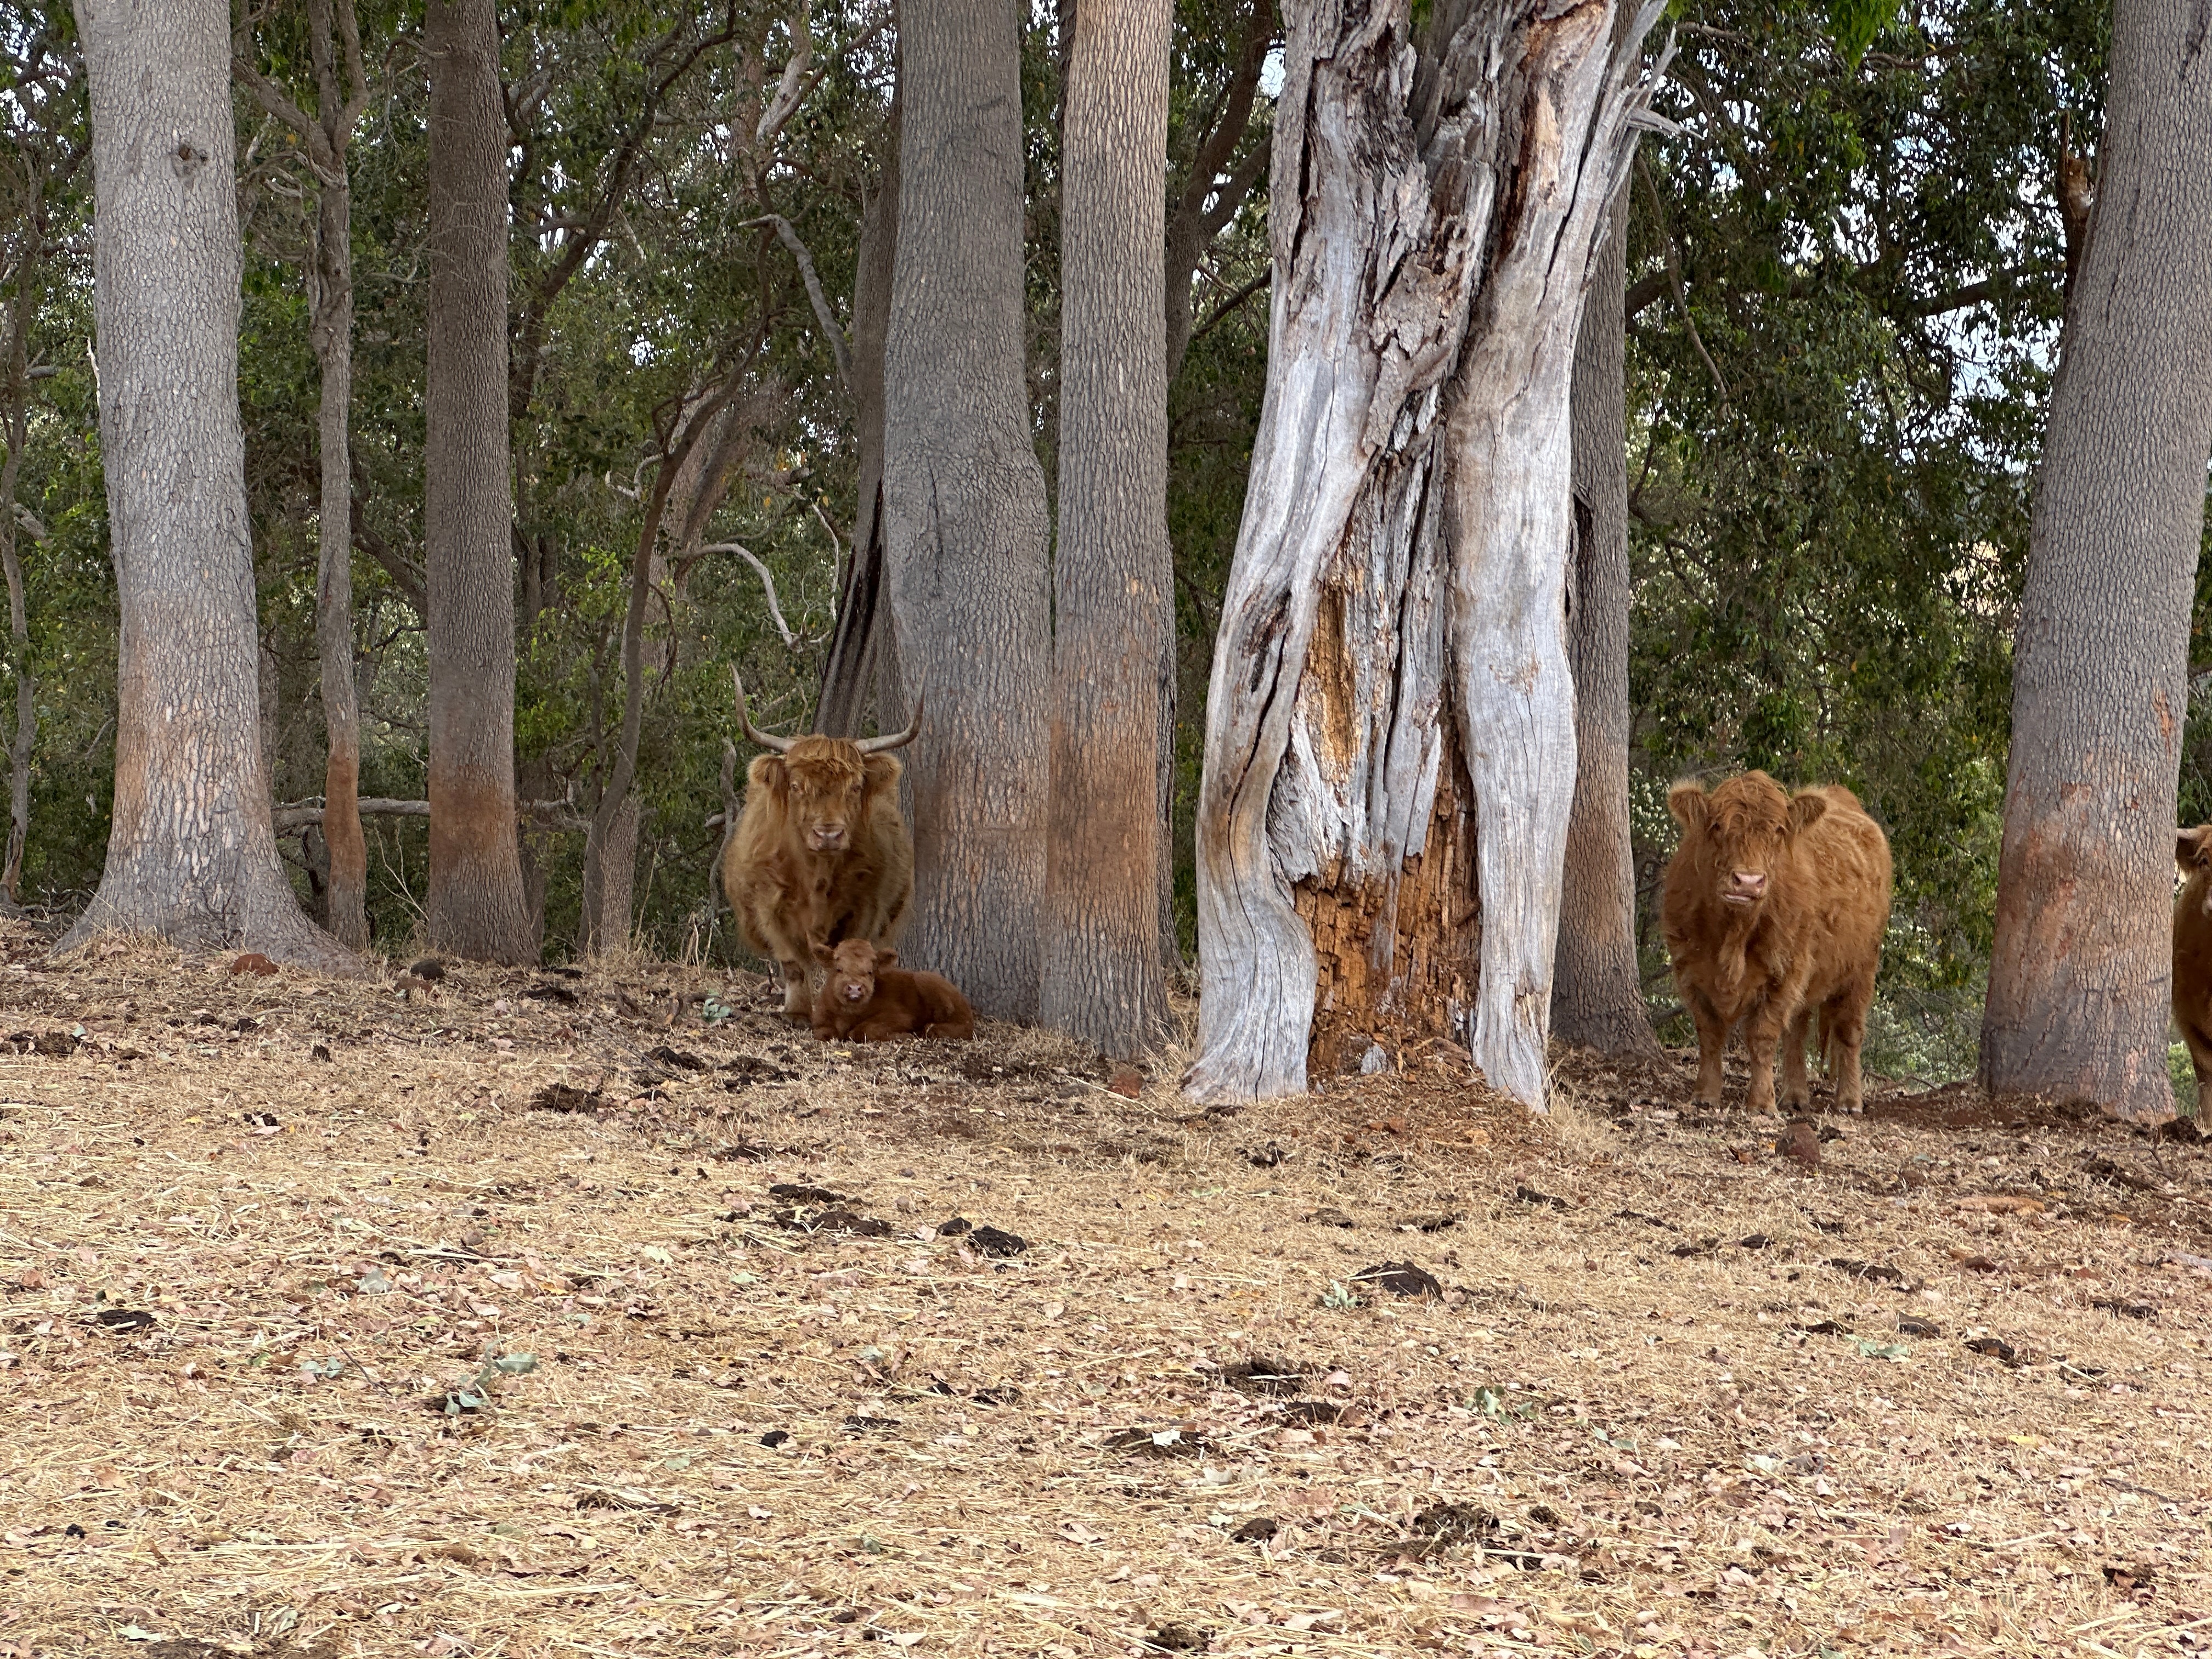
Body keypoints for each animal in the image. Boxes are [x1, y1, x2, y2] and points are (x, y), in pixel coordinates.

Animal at [722, 669, 920, 1018]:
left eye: (855, 787)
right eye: (797, 786)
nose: (829, 834)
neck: (817, 875)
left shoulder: (866, 908)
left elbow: (851, 956)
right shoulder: (769, 906)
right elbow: (793, 965)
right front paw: (798, 1012)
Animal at [810, 938, 975, 1042]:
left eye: (870, 972)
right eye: (838, 969)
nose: (855, 988)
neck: (849, 1014)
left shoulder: (900, 1017)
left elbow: (863, 1030)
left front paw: (904, 1036)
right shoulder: (820, 1020)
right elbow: (823, 1032)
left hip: (926, 979)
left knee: (963, 1027)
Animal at [1662, 771, 1892, 1114]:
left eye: (1779, 831)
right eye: (1716, 826)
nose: (1748, 882)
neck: (1732, 938)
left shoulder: (1785, 971)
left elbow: (1763, 1035)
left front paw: (1761, 1102)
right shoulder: (1689, 969)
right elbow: (1710, 1033)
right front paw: (1705, 1095)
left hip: (1862, 967)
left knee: (1849, 1030)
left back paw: (1849, 1100)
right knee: (1798, 1030)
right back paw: (1795, 1096)